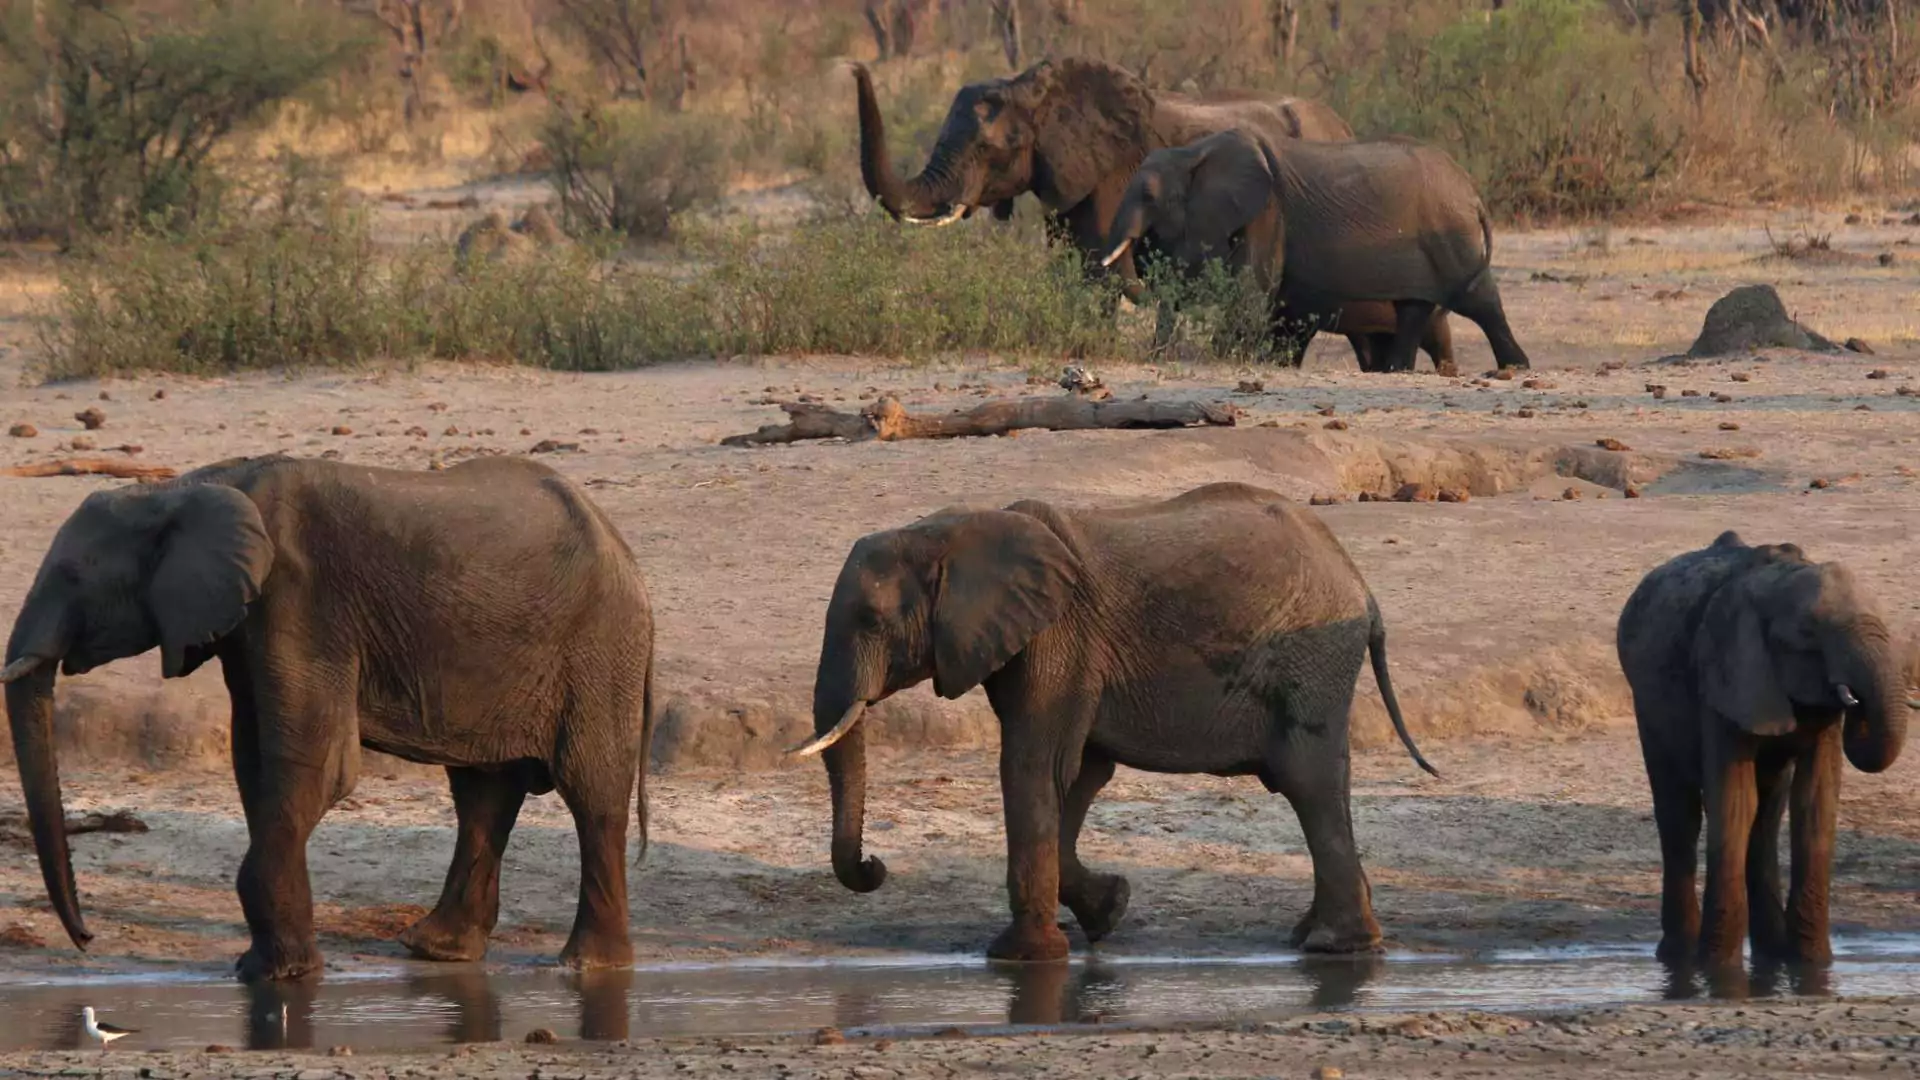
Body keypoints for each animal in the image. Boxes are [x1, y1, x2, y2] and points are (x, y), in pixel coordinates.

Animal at [3, 451, 656, 976]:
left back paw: (588, 965)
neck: (188, 487)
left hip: (599, 649)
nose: (86, 938)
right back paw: (436, 950)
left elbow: (317, 766)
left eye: (72, 576)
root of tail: (624, 549)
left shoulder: (299, 601)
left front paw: (278, 976)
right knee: (483, 793)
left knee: (590, 793)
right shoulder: (250, 621)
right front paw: (266, 968)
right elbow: (255, 760)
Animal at [787, 478, 1436, 957]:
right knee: (1319, 784)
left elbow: (1034, 767)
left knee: (1309, 781)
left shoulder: (1057, 639)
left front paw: (1022, 957)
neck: (955, 529)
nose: (876, 865)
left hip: (1312, 658)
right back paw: (1319, 938)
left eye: (871, 619)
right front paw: (1110, 910)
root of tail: (1360, 584)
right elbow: (1078, 776)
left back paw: (1332, 945)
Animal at [848, 57, 1443, 368]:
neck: (1037, 90)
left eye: (990, 148)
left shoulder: (1112, 173)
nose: (853, 65)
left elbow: (1100, 271)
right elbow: (1071, 268)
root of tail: (1342, 124)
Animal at [1098, 124, 1528, 368]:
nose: (1155, 357)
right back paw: (1398, 370)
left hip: (1451, 235)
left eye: (1149, 196)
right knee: (1414, 308)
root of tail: (1472, 192)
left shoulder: (1268, 211)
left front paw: (1225, 358)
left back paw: (1516, 367)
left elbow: (1252, 288)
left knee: (1478, 300)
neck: (1195, 151)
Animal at [1612, 530, 1912, 968]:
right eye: (1808, 633)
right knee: (1681, 814)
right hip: (1647, 704)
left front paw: (1813, 965)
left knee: (1767, 815)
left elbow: (1814, 803)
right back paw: (1679, 956)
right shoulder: (1725, 676)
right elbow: (1734, 802)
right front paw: (1718, 970)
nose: (1857, 700)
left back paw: (1771, 954)